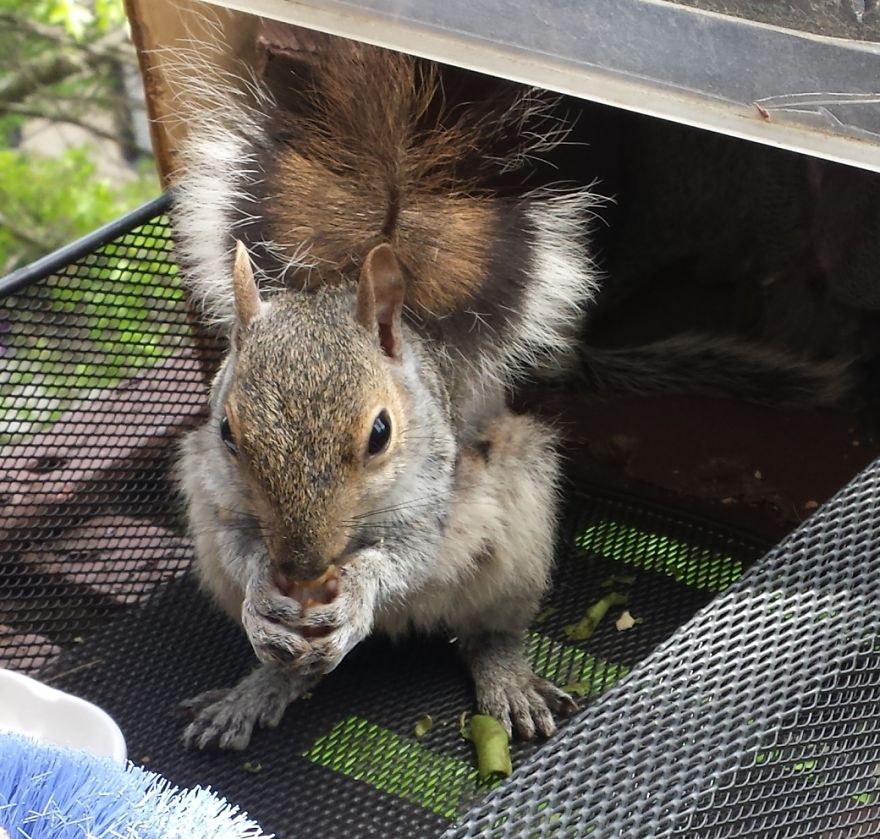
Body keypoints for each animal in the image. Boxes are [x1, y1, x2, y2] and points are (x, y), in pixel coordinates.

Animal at [178, 242, 575, 748]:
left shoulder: (428, 504)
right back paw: (260, 688)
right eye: (226, 431)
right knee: (298, 666)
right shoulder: (222, 503)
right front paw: (260, 598)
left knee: (488, 630)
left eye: (381, 432)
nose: (301, 567)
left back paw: (506, 675)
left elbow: (409, 557)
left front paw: (357, 593)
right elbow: (239, 550)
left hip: (520, 531)